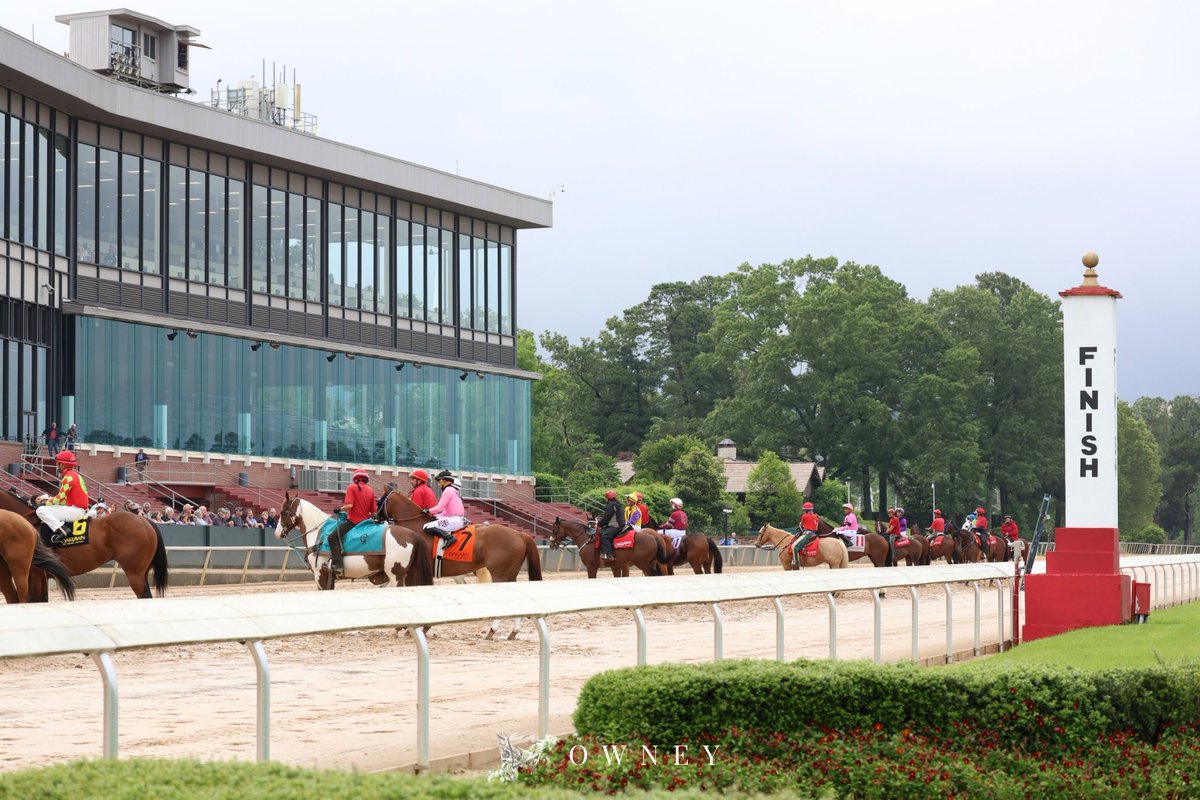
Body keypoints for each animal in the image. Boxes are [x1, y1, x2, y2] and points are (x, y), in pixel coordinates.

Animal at [277, 491, 436, 592]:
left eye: (283, 512)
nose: (277, 533)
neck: (319, 532)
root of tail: (412, 534)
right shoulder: (329, 578)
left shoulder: (320, 574)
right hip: (409, 575)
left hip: (396, 575)